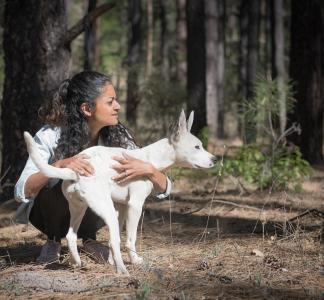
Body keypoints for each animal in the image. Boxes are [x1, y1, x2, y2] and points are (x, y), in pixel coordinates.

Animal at [24, 109, 215, 274]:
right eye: (197, 147)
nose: (214, 159)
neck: (149, 159)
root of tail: (73, 172)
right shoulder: (135, 205)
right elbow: (130, 239)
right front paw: (135, 261)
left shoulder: (121, 207)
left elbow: (113, 240)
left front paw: (110, 262)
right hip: (105, 209)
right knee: (113, 241)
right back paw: (123, 271)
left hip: (79, 208)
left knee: (71, 236)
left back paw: (78, 263)